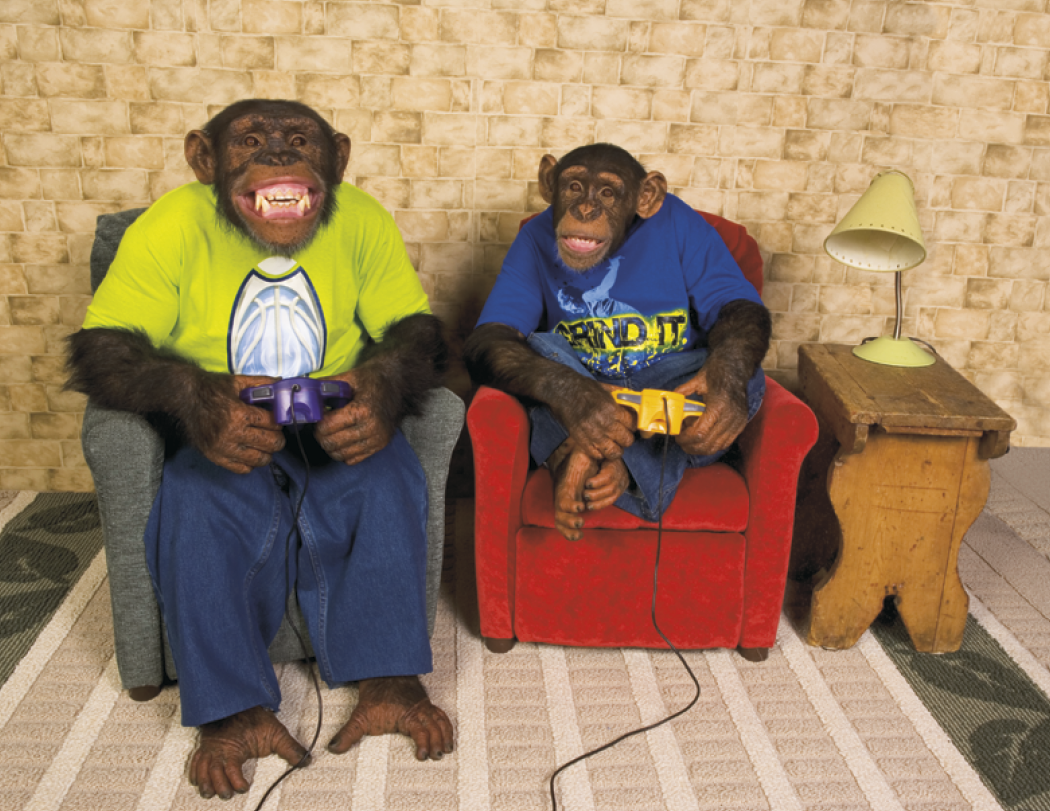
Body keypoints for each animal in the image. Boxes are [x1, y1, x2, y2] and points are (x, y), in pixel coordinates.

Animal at [66, 99, 453, 800]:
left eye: (299, 137)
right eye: (248, 140)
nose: (278, 155)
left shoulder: (377, 229)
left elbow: (410, 329)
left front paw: (370, 407)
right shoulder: (150, 239)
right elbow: (106, 342)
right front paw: (219, 412)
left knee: (379, 487)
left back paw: (392, 698)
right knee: (199, 517)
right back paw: (237, 729)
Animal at [464, 143, 771, 541]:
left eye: (608, 193)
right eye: (574, 186)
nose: (585, 209)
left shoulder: (695, 231)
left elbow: (732, 301)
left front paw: (721, 397)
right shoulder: (522, 246)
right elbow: (496, 331)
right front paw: (589, 408)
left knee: (753, 376)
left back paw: (614, 471)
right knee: (541, 344)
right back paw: (576, 463)